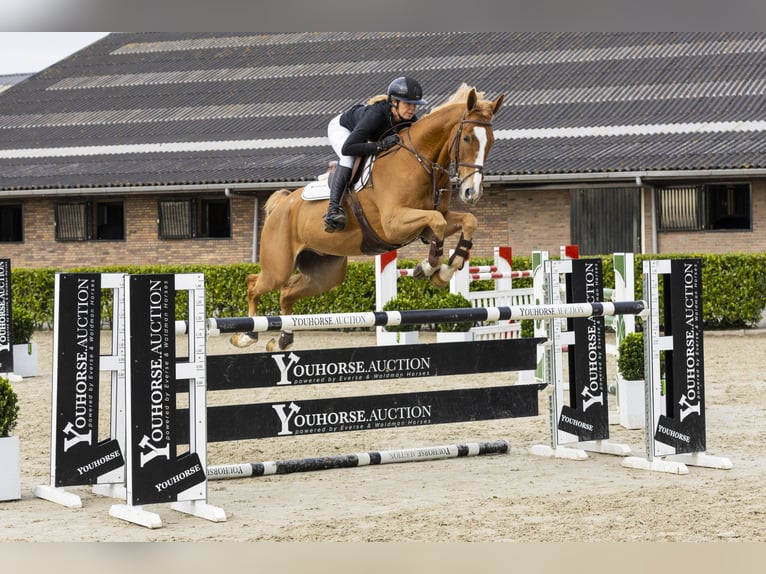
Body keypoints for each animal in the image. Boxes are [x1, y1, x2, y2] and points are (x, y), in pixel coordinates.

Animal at [232, 84, 510, 352]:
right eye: (467, 138)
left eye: (491, 142)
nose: (472, 193)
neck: (419, 162)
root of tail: (283, 204)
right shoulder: (394, 224)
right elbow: (438, 223)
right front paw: (428, 267)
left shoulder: (430, 222)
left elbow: (468, 221)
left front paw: (445, 271)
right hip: (278, 266)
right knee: (254, 283)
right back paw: (247, 335)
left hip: (325, 273)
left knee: (287, 293)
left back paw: (283, 339)